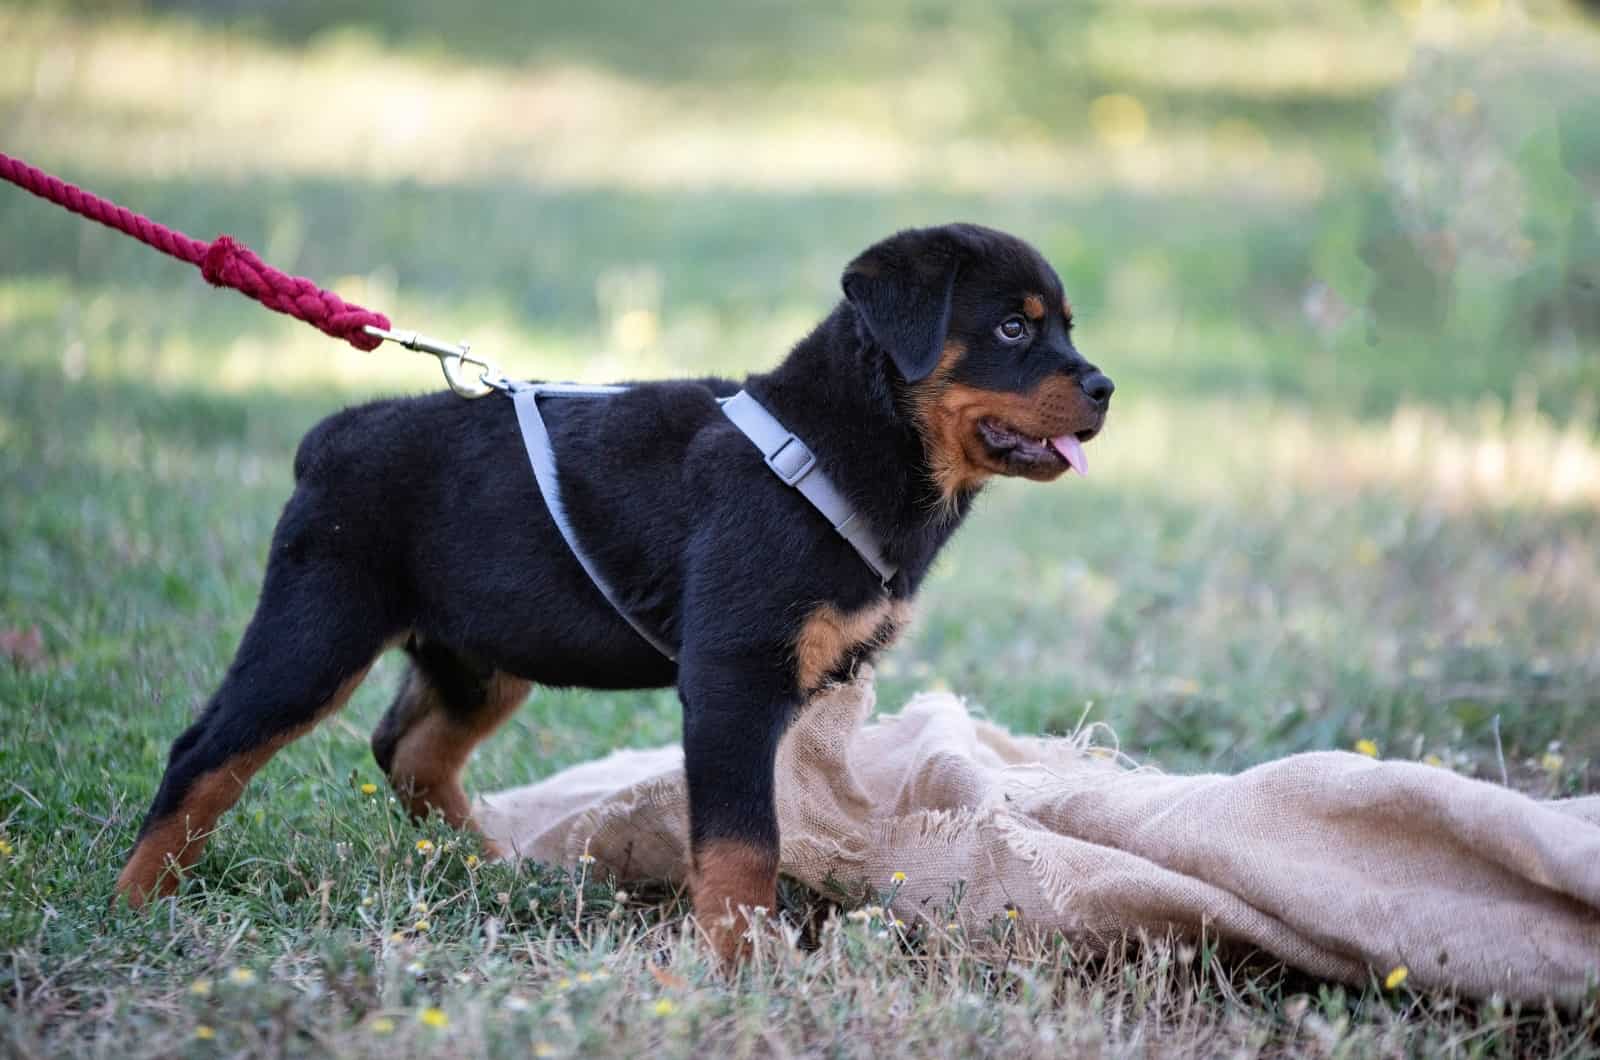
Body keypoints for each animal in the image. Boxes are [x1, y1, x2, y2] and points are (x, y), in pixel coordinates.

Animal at [116, 222, 1113, 960]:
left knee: (410, 750)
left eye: (1064, 325)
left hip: (480, 653)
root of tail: (329, 439)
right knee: (208, 750)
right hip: (321, 626)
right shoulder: (735, 675)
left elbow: (791, 815)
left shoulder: (812, 683)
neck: (841, 443)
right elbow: (743, 840)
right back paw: (136, 899)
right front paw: (744, 961)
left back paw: (496, 870)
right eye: (1015, 329)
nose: (1105, 385)